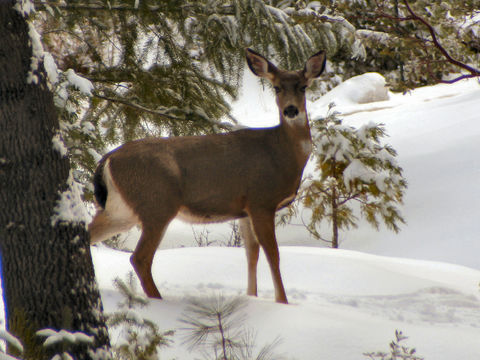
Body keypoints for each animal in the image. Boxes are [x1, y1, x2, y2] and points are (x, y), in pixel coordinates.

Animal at [88, 48, 328, 304]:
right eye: (277, 87)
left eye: (303, 87)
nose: (291, 110)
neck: (280, 153)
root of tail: (107, 159)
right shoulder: (261, 200)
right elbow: (272, 253)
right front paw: (282, 302)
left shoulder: (245, 209)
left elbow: (251, 253)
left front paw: (251, 296)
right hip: (157, 203)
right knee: (140, 258)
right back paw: (158, 300)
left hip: (119, 210)